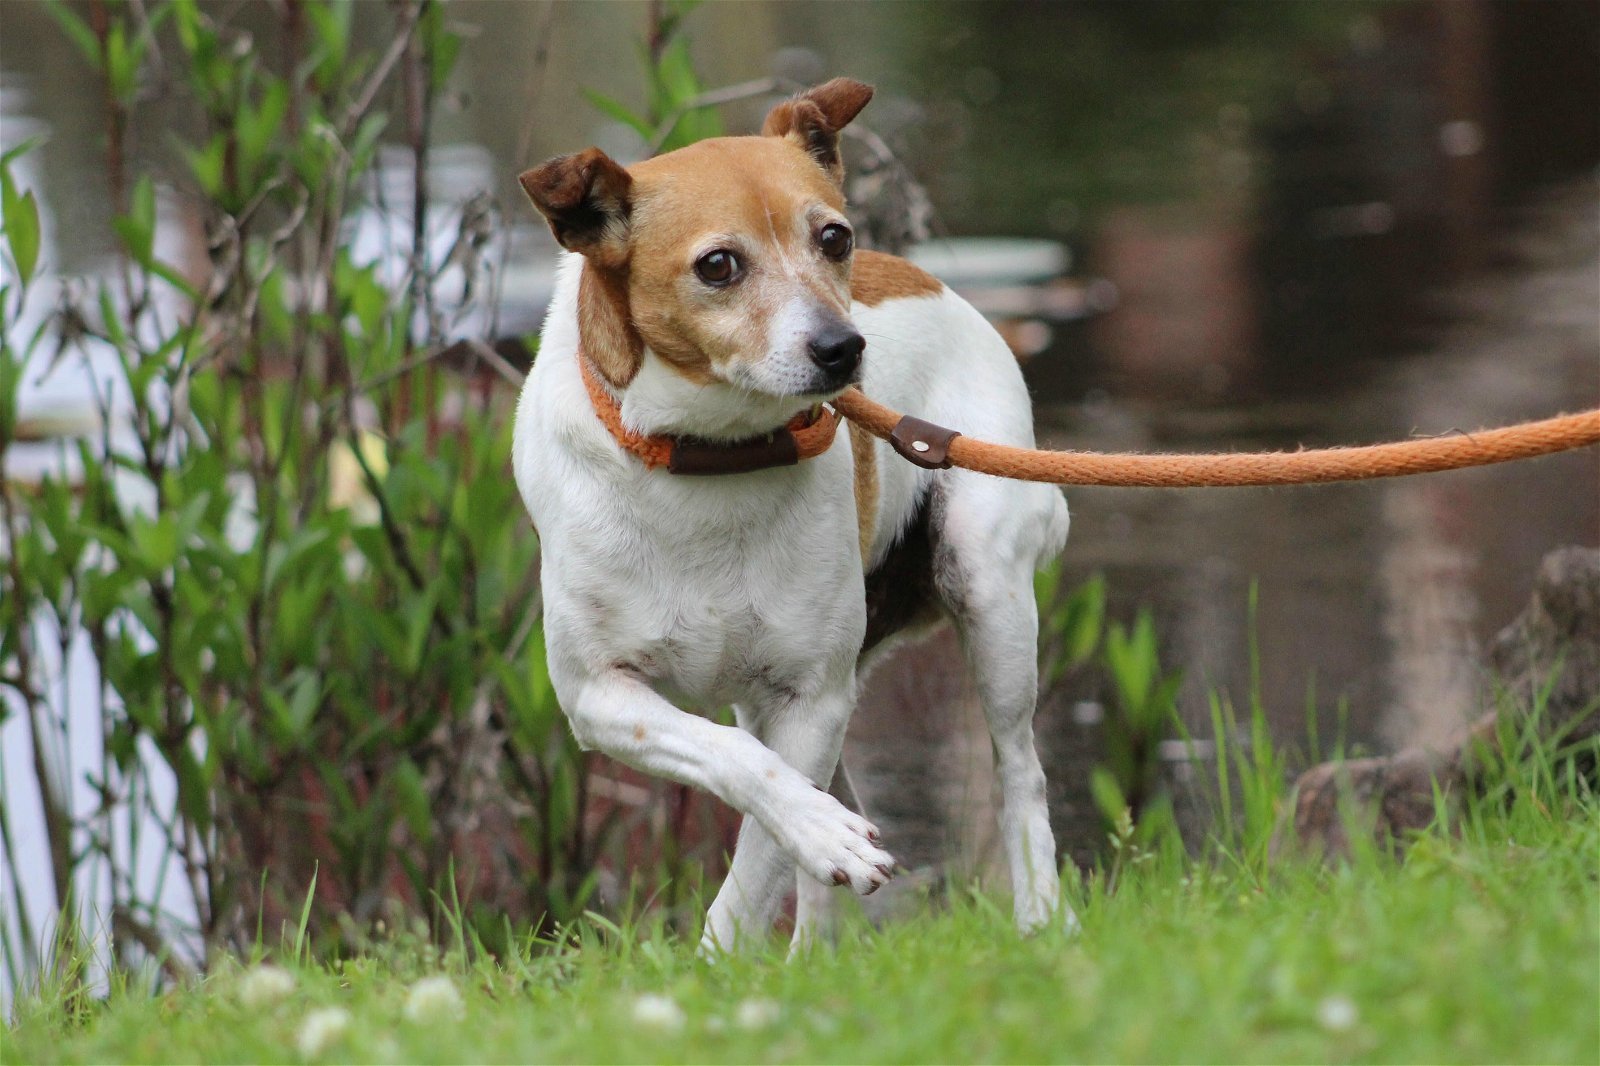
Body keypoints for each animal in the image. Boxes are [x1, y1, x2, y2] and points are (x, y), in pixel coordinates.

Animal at [505, 78, 1068, 947]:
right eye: (718, 264)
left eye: (833, 237)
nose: (844, 348)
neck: (711, 458)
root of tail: (929, 280)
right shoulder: (596, 695)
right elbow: (743, 767)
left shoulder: (811, 697)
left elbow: (759, 858)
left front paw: (721, 953)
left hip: (985, 586)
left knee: (1021, 772)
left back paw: (1042, 918)